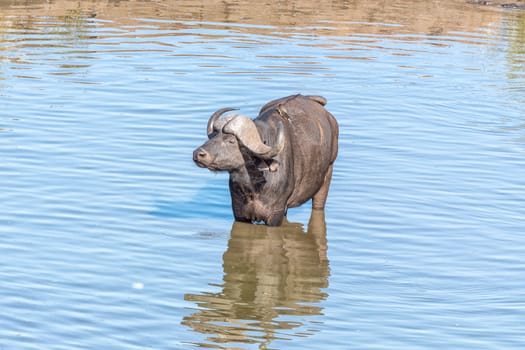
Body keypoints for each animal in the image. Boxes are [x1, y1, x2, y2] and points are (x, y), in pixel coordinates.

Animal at [194, 93, 338, 224]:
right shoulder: (239, 213)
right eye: (214, 136)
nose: (198, 154)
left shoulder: (275, 214)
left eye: (231, 141)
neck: (253, 187)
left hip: (327, 174)